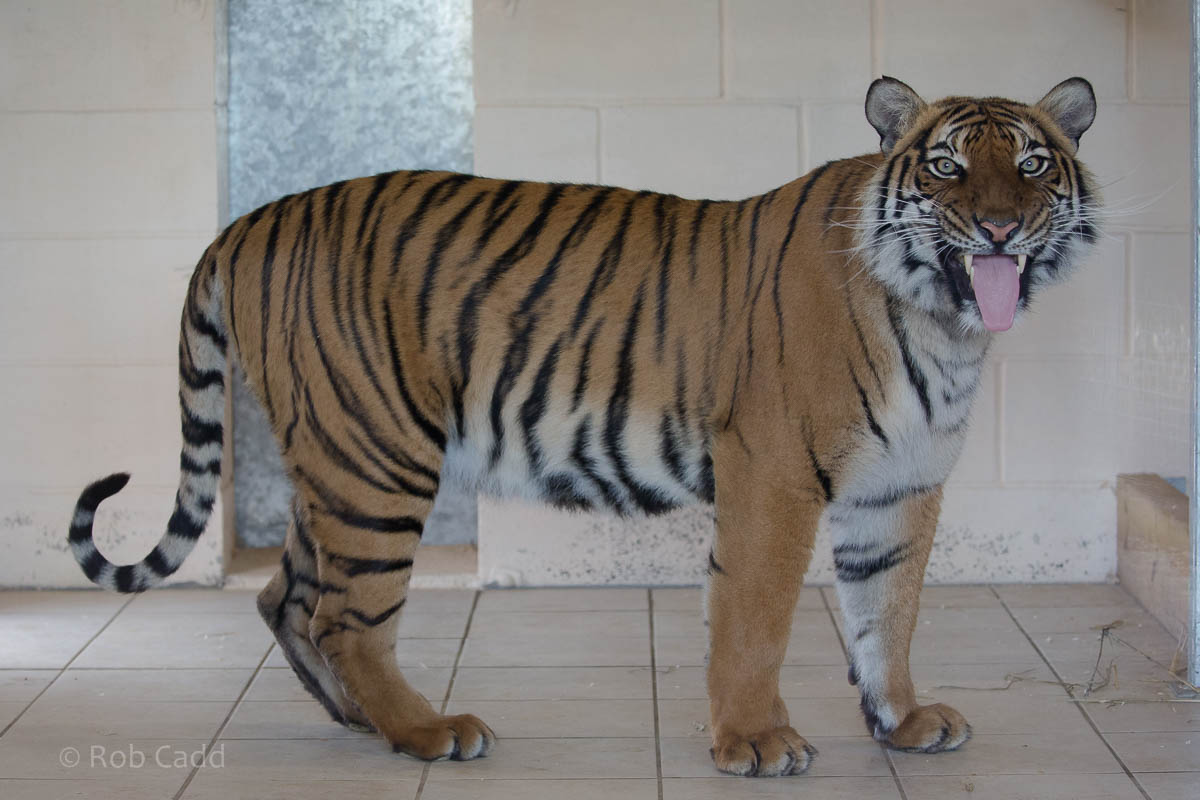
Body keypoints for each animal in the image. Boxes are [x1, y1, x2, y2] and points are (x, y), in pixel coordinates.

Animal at [68, 76, 1099, 776]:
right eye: (947, 166)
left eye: (1032, 164)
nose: (1000, 229)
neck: (945, 324)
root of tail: (248, 220)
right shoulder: (774, 474)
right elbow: (757, 618)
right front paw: (757, 740)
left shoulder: (901, 486)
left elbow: (889, 613)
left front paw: (904, 722)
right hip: (377, 457)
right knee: (344, 614)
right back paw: (428, 731)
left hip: (331, 460)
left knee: (285, 597)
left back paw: (364, 721)